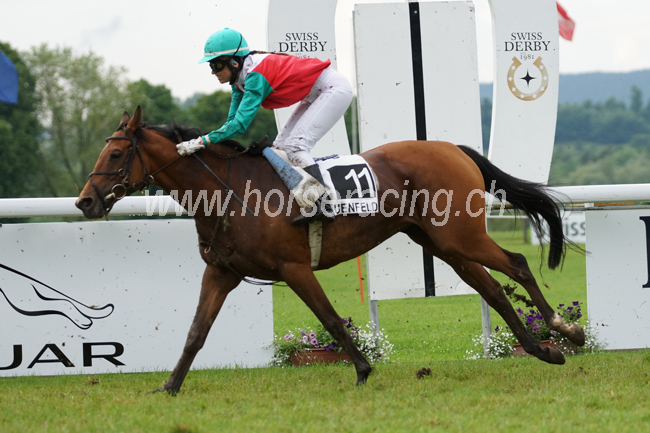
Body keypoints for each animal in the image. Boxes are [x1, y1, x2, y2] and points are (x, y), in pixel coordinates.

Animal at [76, 106, 585, 394]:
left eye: (116, 154)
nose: (85, 201)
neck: (228, 191)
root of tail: (453, 147)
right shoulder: (221, 272)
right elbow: (195, 333)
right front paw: (169, 386)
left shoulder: (294, 267)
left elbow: (331, 320)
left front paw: (362, 370)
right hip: (442, 244)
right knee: (494, 291)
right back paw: (541, 351)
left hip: (462, 235)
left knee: (517, 265)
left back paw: (566, 332)